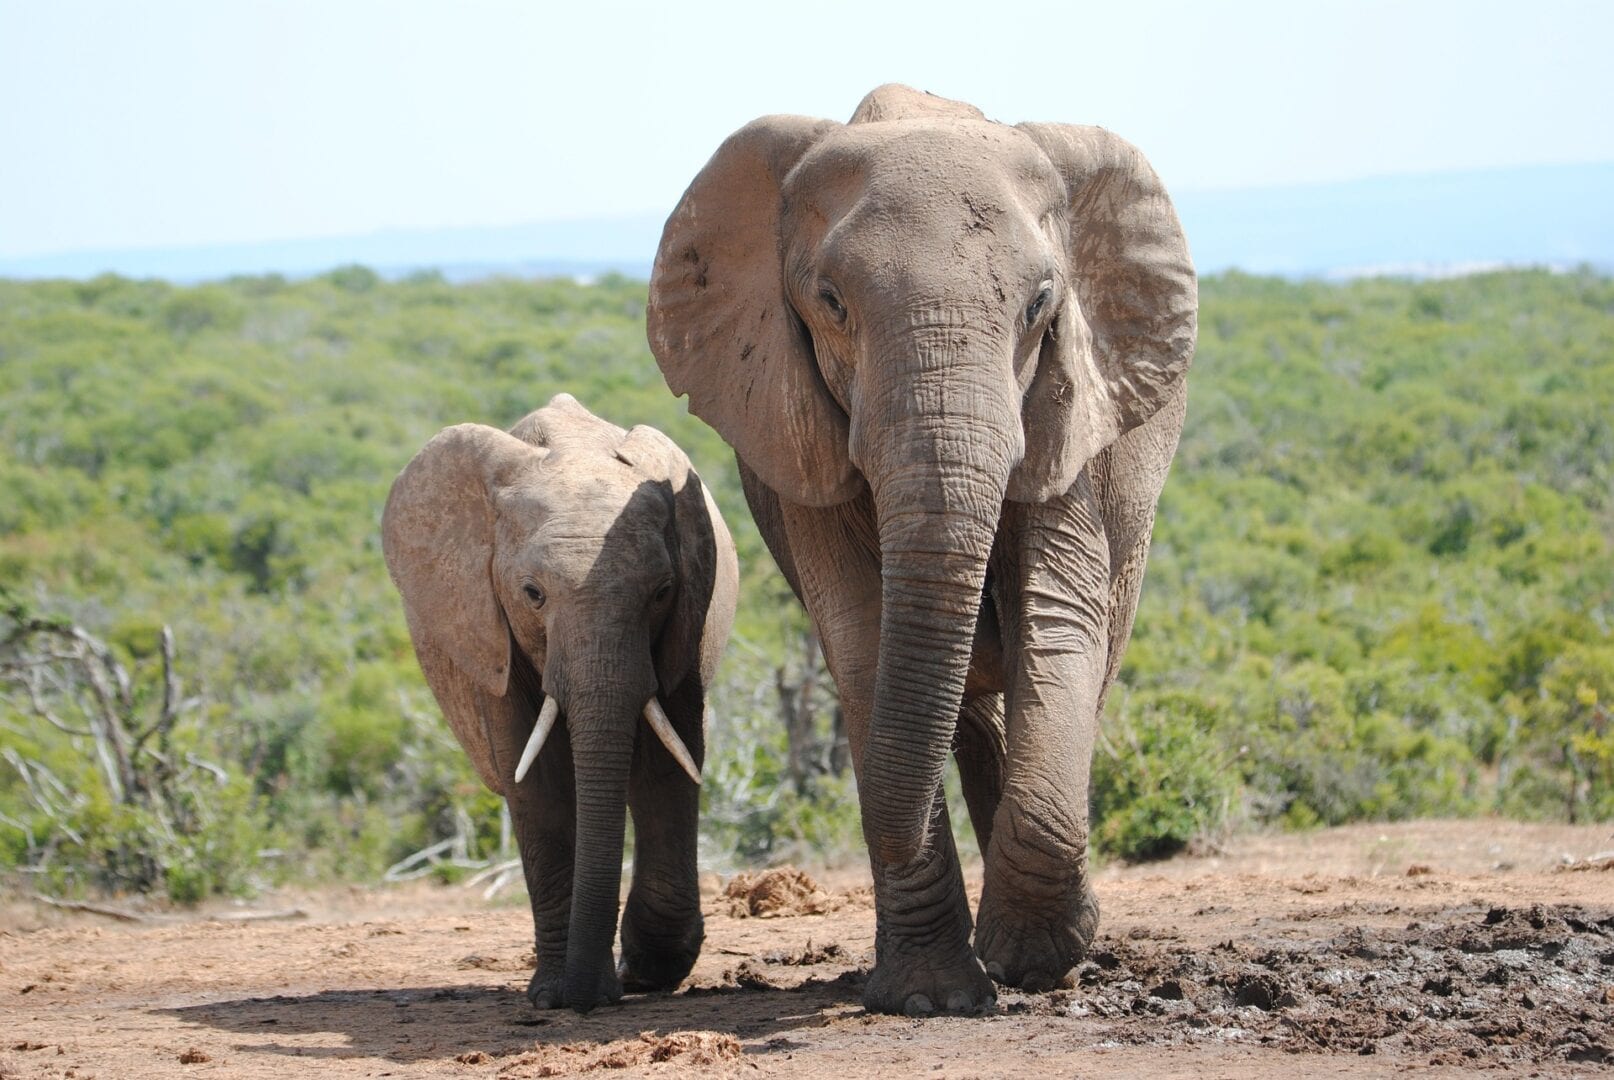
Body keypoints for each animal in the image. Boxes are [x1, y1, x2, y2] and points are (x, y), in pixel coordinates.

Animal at [377, 393, 739, 1013]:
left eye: (662, 592)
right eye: (532, 594)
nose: (587, 998)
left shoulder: (688, 616)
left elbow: (669, 763)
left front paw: (642, 974)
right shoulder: (486, 629)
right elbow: (536, 778)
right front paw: (554, 996)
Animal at [645, 82, 1200, 1013]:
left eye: (1040, 304)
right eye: (831, 302)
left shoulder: (1067, 418)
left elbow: (1058, 620)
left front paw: (1035, 961)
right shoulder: (801, 438)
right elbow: (864, 641)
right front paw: (933, 995)